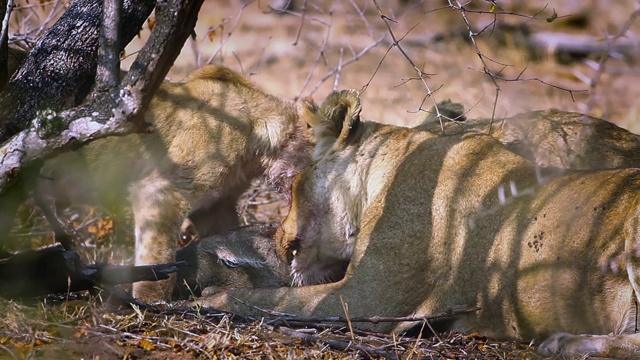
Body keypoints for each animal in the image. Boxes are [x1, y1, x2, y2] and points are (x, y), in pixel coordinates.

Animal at [194, 89, 640, 358]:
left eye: (295, 185)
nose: (279, 237)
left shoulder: (369, 299)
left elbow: (271, 300)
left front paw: (209, 298)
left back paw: (570, 343)